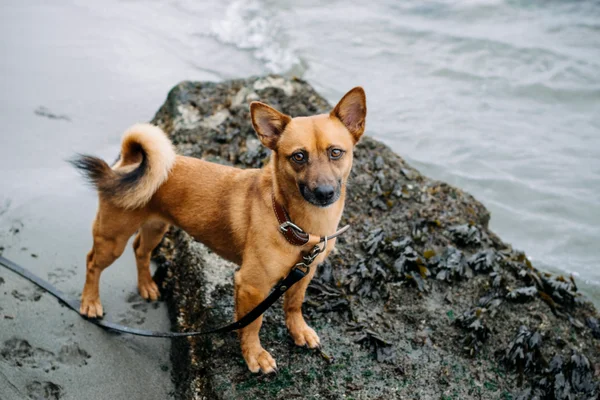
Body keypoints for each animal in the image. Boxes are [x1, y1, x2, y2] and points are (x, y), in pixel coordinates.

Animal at [73, 86, 368, 372]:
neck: (293, 220)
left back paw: (146, 285)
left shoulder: (304, 273)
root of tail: (129, 164)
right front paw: (254, 356)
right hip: (113, 239)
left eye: (336, 152)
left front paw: (299, 331)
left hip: (155, 227)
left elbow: (294, 305)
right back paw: (90, 302)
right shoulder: (252, 287)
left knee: (140, 251)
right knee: (92, 263)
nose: (324, 193)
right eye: (298, 156)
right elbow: (252, 324)